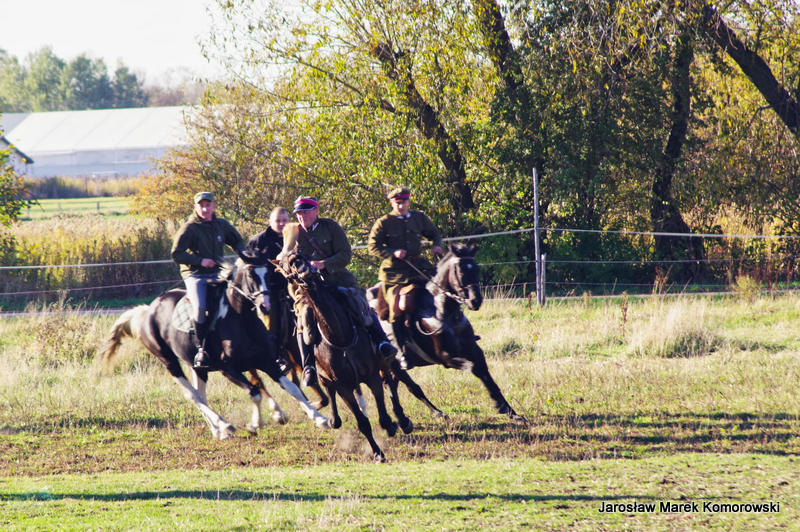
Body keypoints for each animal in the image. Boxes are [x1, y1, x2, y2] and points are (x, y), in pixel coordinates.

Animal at [99, 260, 331, 439]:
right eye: (250, 275)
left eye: (269, 275)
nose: (265, 306)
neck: (242, 319)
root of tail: (148, 310)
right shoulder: (229, 370)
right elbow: (255, 393)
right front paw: (255, 424)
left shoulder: (266, 362)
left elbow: (292, 388)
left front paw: (320, 419)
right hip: (169, 361)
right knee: (192, 396)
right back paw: (224, 424)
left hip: (197, 366)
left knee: (201, 395)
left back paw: (219, 430)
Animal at [274, 246, 413, 462]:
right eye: (285, 265)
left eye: (302, 255)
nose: (302, 267)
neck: (340, 337)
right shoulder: (343, 386)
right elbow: (362, 422)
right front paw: (377, 453)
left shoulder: (371, 376)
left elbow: (382, 412)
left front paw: (391, 425)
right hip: (327, 379)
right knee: (330, 393)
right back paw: (333, 419)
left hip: (385, 362)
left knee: (391, 383)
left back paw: (402, 420)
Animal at [367, 243, 527, 423]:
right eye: (461, 271)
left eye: (476, 269)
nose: (475, 301)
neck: (444, 313)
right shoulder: (446, 358)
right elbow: (475, 368)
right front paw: (501, 407)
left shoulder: (474, 350)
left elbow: (485, 373)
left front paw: (509, 410)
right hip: (393, 364)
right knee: (408, 386)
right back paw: (424, 415)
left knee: (394, 385)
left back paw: (410, 415)